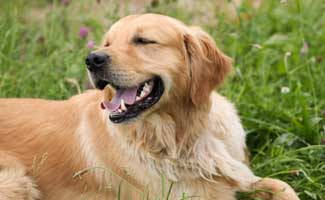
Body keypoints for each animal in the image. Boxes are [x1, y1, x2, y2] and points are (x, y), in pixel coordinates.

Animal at [0, 13, 298, 199]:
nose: (92, 58)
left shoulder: (240, 176)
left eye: (143, 41)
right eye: (108, 42)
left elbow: (282, 185)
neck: (184, 134)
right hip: (17, 180)